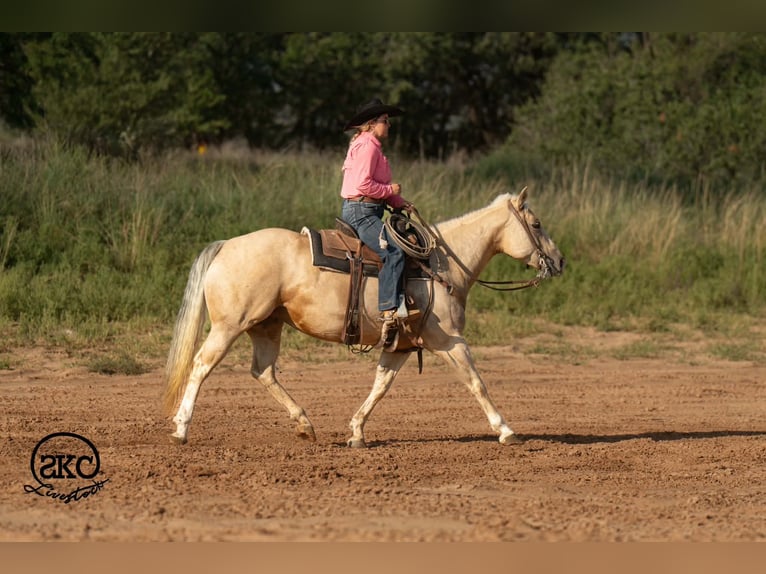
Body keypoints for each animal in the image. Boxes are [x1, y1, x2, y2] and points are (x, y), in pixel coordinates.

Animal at [163, 187, 564, 447]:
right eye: (537, 224)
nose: (559, 261)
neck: (439, 265)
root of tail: (225, 246)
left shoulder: (401, 345)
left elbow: (380, 385)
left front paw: (356, 432)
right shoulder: (449, 340)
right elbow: (476, 382)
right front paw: (506, 430)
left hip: (267, 327)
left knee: (263, 371)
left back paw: (305, 425)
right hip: (230, 326)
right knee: (201, 365)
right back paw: (181, 429)